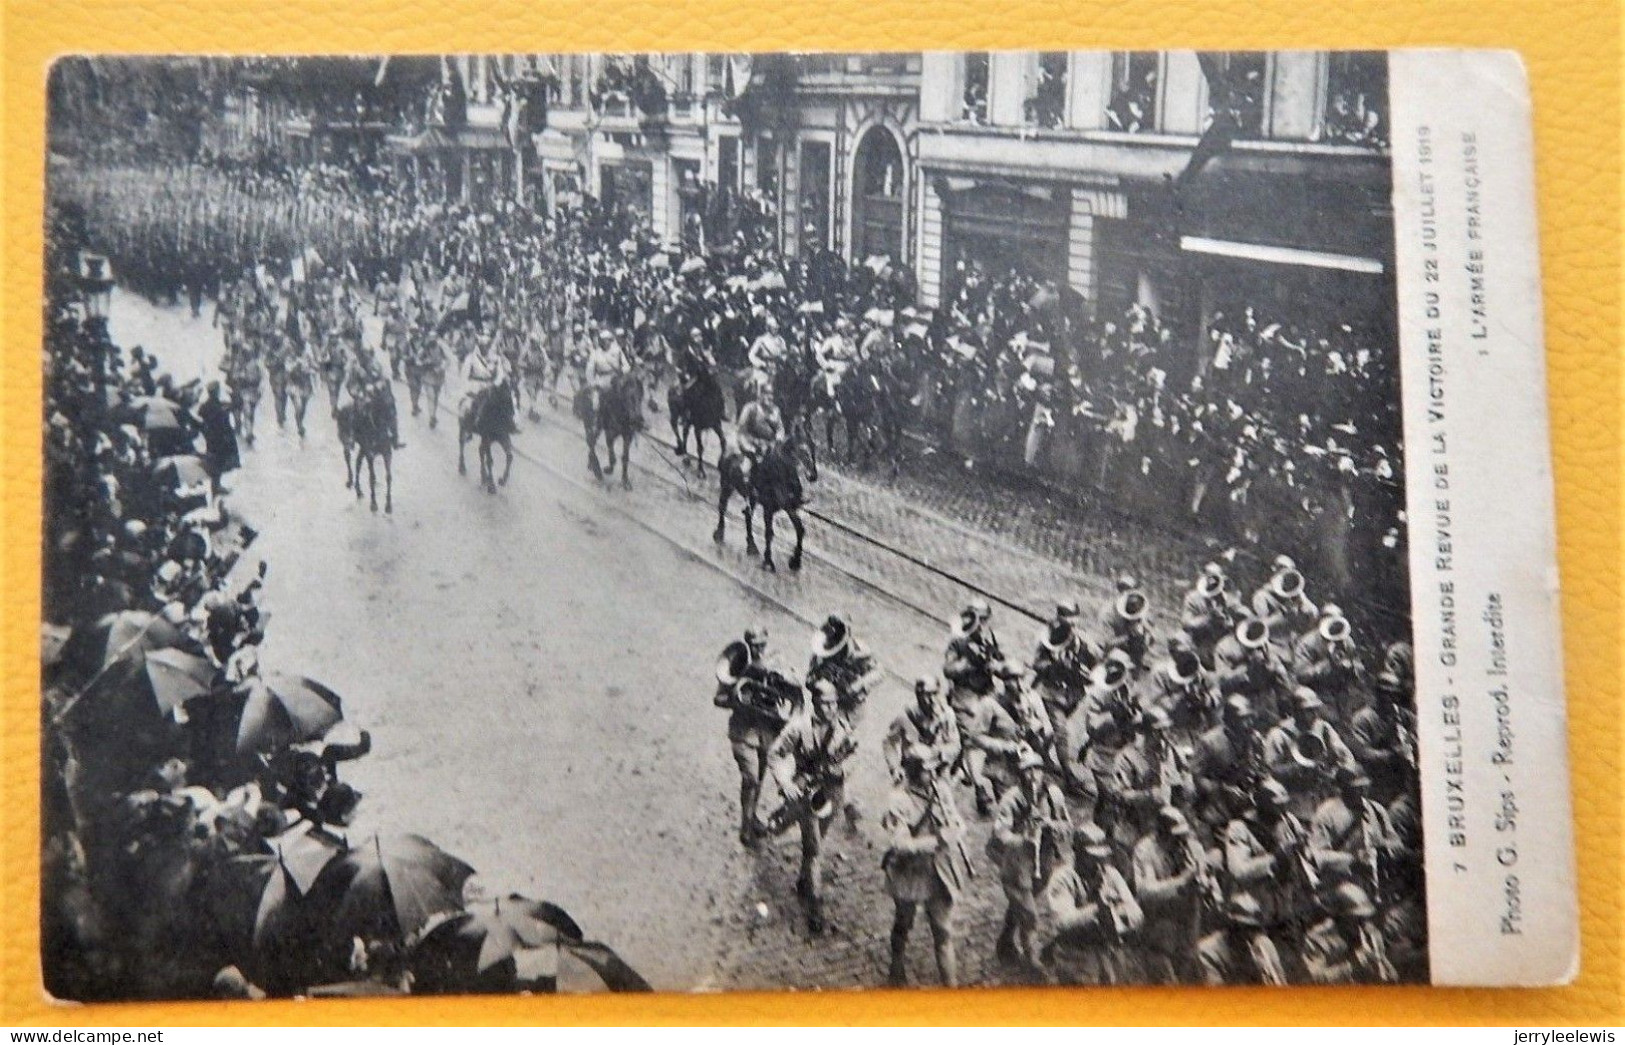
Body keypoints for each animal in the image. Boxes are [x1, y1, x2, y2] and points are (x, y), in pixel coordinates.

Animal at [715, 422, 819, 572]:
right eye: (802, 450)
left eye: (814, 448)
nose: (813, 476)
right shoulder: (768, 508)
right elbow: (769, 533)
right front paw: (768, 561)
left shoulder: (789, 508)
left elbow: (800, 529)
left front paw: (795, 562)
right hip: (727, 484)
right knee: (722, 506)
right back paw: (719, 534)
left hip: (751, 498)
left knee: (748, 515)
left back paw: (751, 547)